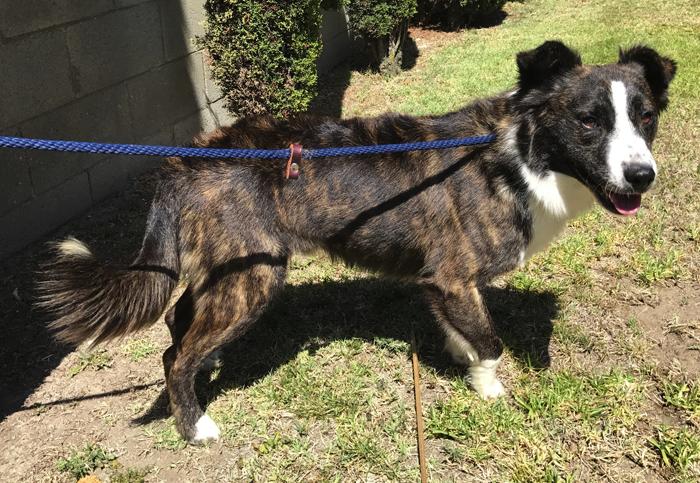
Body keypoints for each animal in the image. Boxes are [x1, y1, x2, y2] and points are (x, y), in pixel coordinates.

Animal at [37, 40, 672, 442]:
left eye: (646, 117)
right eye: (588, 121)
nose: (643, 176)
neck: (513, 154)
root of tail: (187, 158)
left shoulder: (442, 284)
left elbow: (461, 330)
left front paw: (460, 359)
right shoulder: (455, 276)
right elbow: (491, 341)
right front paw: (490, 390)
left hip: (231, 269)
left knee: (178, 322)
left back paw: (207, 364)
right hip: (255, 279)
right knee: (174, 355)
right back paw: (196, 426)